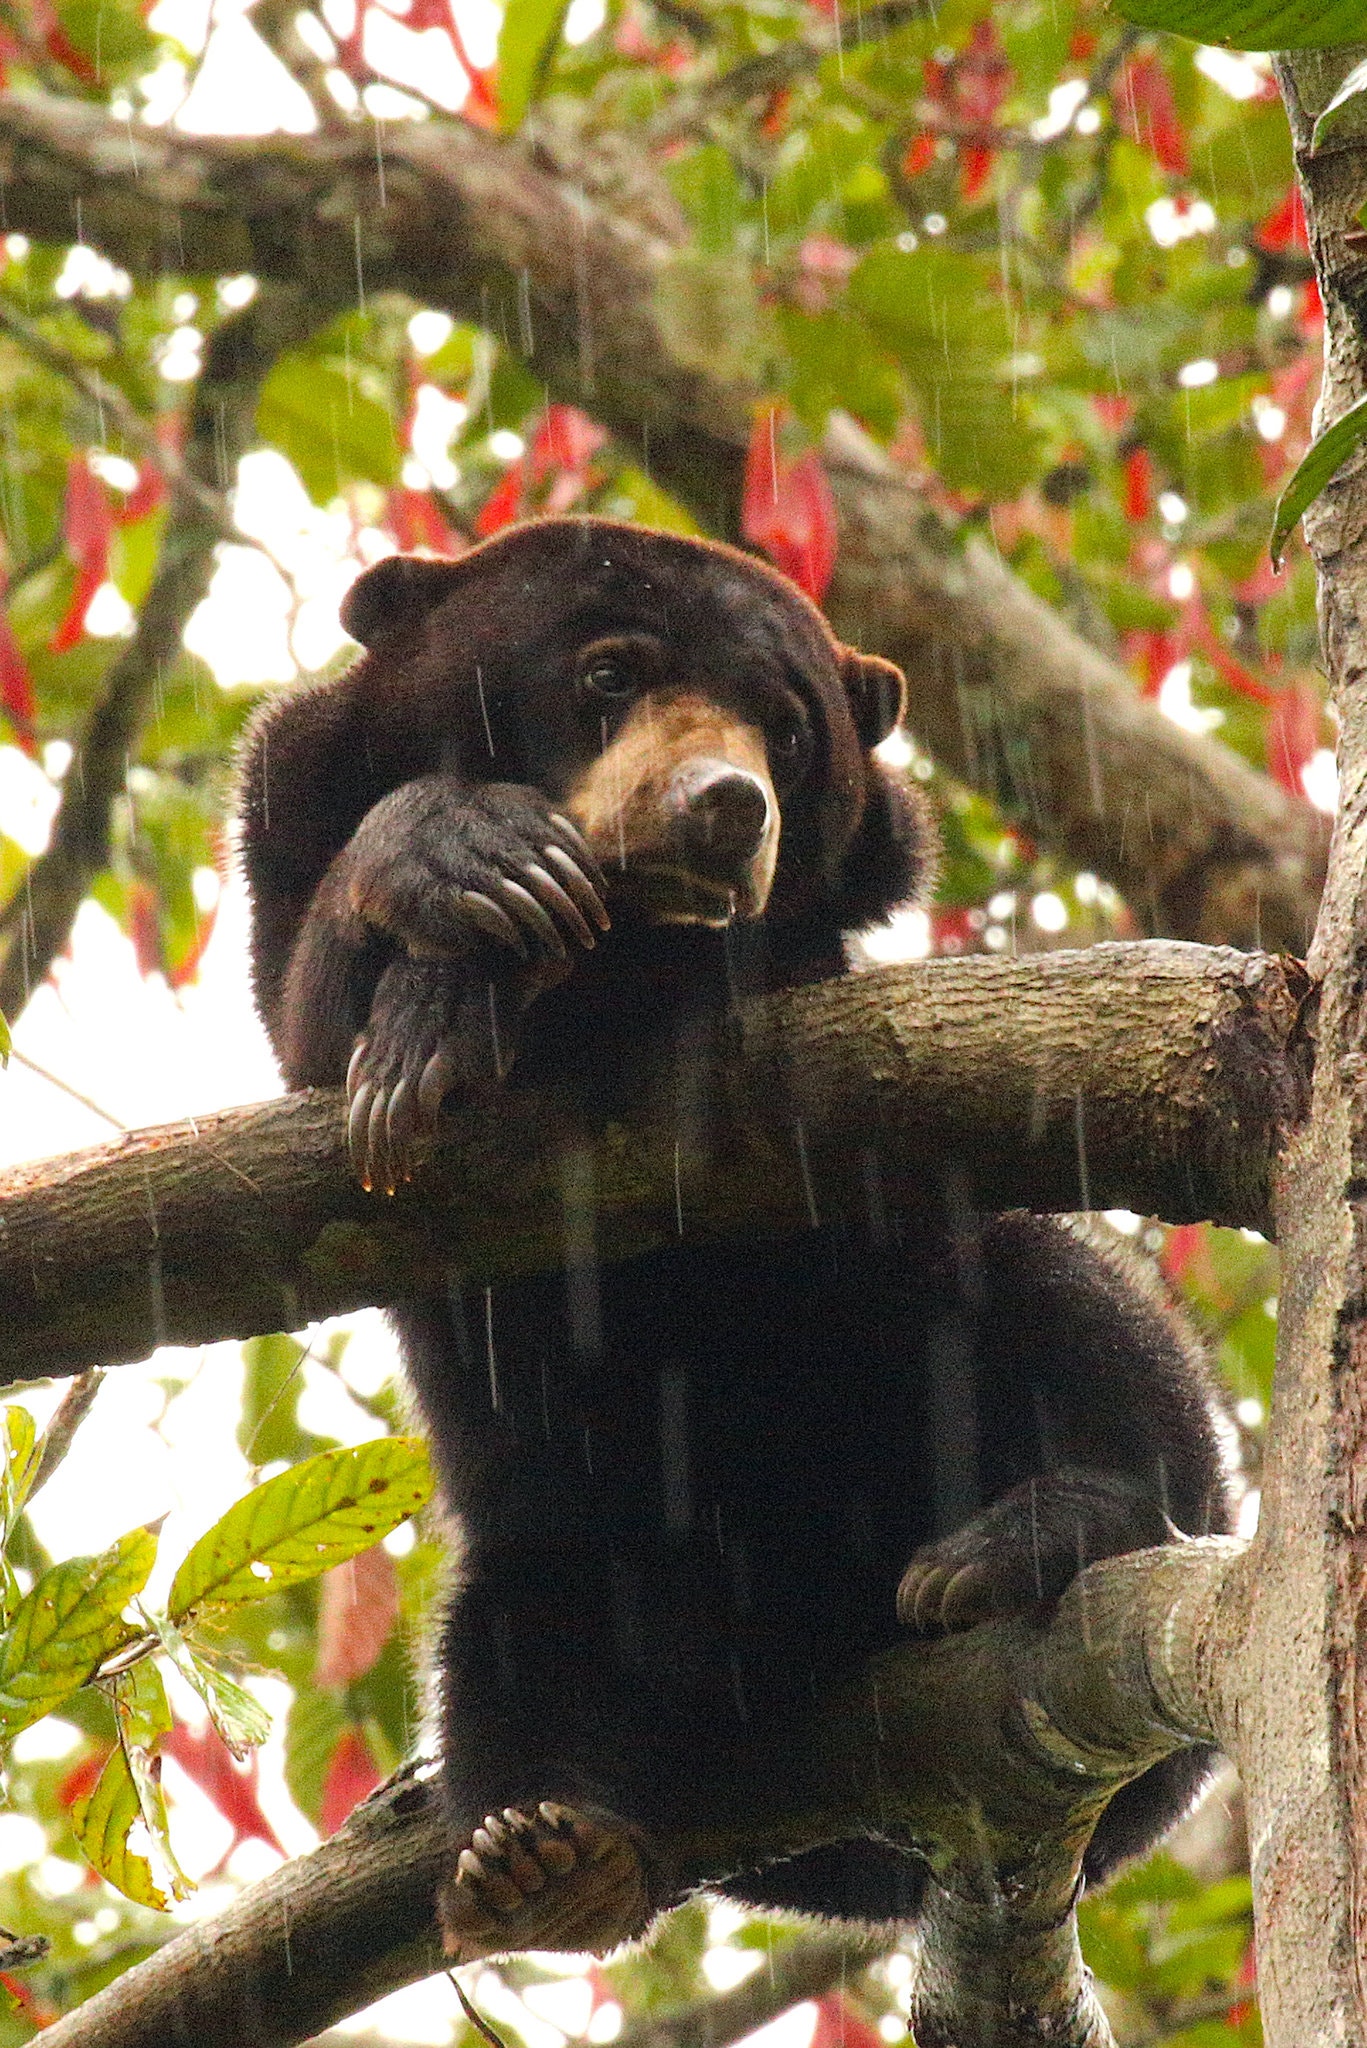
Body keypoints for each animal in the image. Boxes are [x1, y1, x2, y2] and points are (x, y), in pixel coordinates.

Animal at [240, 512, 1237, 1949]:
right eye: (607, 672)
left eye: (785, 726)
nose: (722, 804)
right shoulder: (289, 816)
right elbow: (315, 1046)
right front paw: (454, 921)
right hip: (586, 1544)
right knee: (518, 1628)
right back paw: (544, 1854)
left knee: (1055, 1295)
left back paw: (1028, 1540)